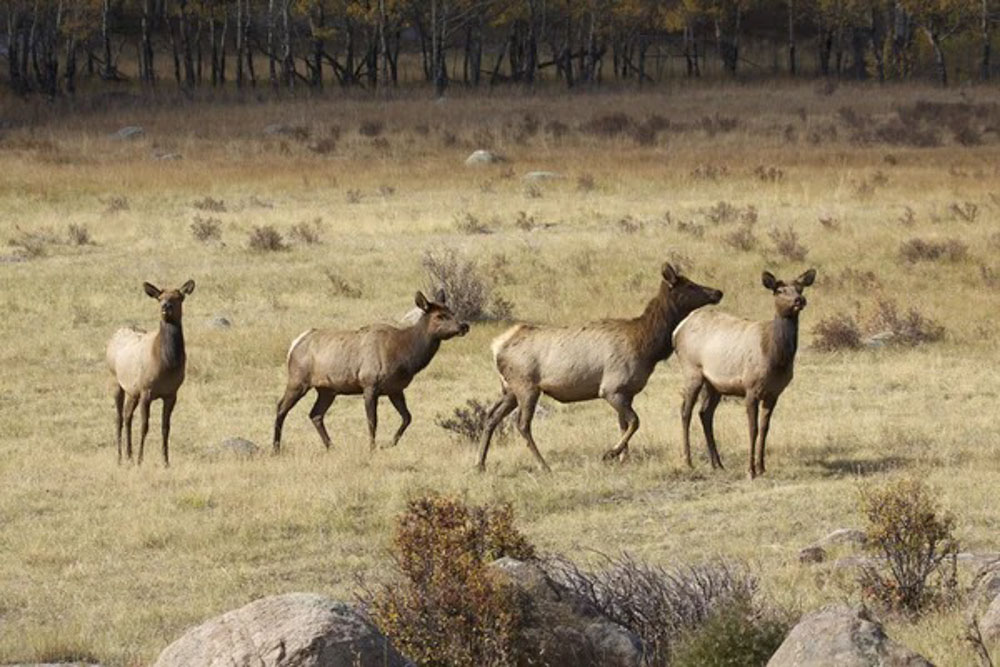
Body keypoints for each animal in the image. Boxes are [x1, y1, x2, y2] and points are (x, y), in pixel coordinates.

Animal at [106, 280, 195, 467]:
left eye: (179, 297)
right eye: (159, 298)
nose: (166, 307)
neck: (167, 363)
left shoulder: (171, 393)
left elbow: (165, 427)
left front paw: (166, 461)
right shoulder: (146, 391)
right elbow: (145, 426)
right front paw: (140, 460)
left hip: (132, 391)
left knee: (127, 416)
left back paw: (129, 455)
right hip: (115, 381)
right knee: (118, 418)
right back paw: (120, 458)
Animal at [273, 291, 469, 453]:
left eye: (451, 311)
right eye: (440, 316)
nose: (464, 326)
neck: (405, 357)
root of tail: (294, 344)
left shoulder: (396, 389)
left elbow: (407, 417)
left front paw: (389, 444)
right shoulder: (369, 384)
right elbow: (372, 421)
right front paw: (372, 448)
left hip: (327, 389)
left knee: (315, 414)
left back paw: (331, 447)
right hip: (298, 380)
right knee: (281, 407)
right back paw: (275, 447)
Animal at [477, 263, 723, 473]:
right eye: (689, 285)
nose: (718, 292)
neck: (647, 347)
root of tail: (496, 347)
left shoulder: (626, 392)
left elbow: (624, 424)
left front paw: (624, 459)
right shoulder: (611, 389)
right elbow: (635, 421)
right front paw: (611, 454)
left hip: (510, 390)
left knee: (491, 416)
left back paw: (480, 464)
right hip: (526, 387)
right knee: (522, 425)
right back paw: (544, 466)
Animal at [673, 268, 816, 479]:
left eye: (800, 288)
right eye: (779, 290)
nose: (799, 300)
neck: (776, 359)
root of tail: (676, 330)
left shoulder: (774, 393)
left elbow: (765, 428)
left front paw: (762, 467)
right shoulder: (750, 388)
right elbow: (753, 429)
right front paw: (750, 470)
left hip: (714, 384)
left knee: (705, 413)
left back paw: (718, 464)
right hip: (691, 370)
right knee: (685, 411)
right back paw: (688, 461)